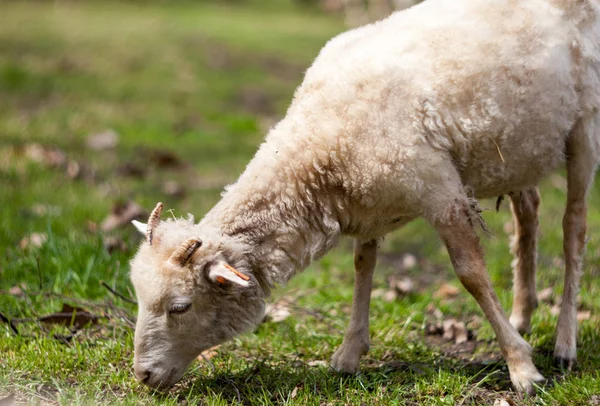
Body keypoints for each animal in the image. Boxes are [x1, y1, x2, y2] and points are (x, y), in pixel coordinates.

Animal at [127, 0, 600, 394]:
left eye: (180, 307)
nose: (143, 376)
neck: (318, 144)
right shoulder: (367, 201)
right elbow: (362, 266)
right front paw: (348, 353)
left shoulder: (439, 189)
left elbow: (472, 276)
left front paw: (522, 368)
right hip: (520, 149)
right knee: (528, 214)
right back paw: (522, 314)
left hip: (584, 125)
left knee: (573, 228)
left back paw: (564, 343)